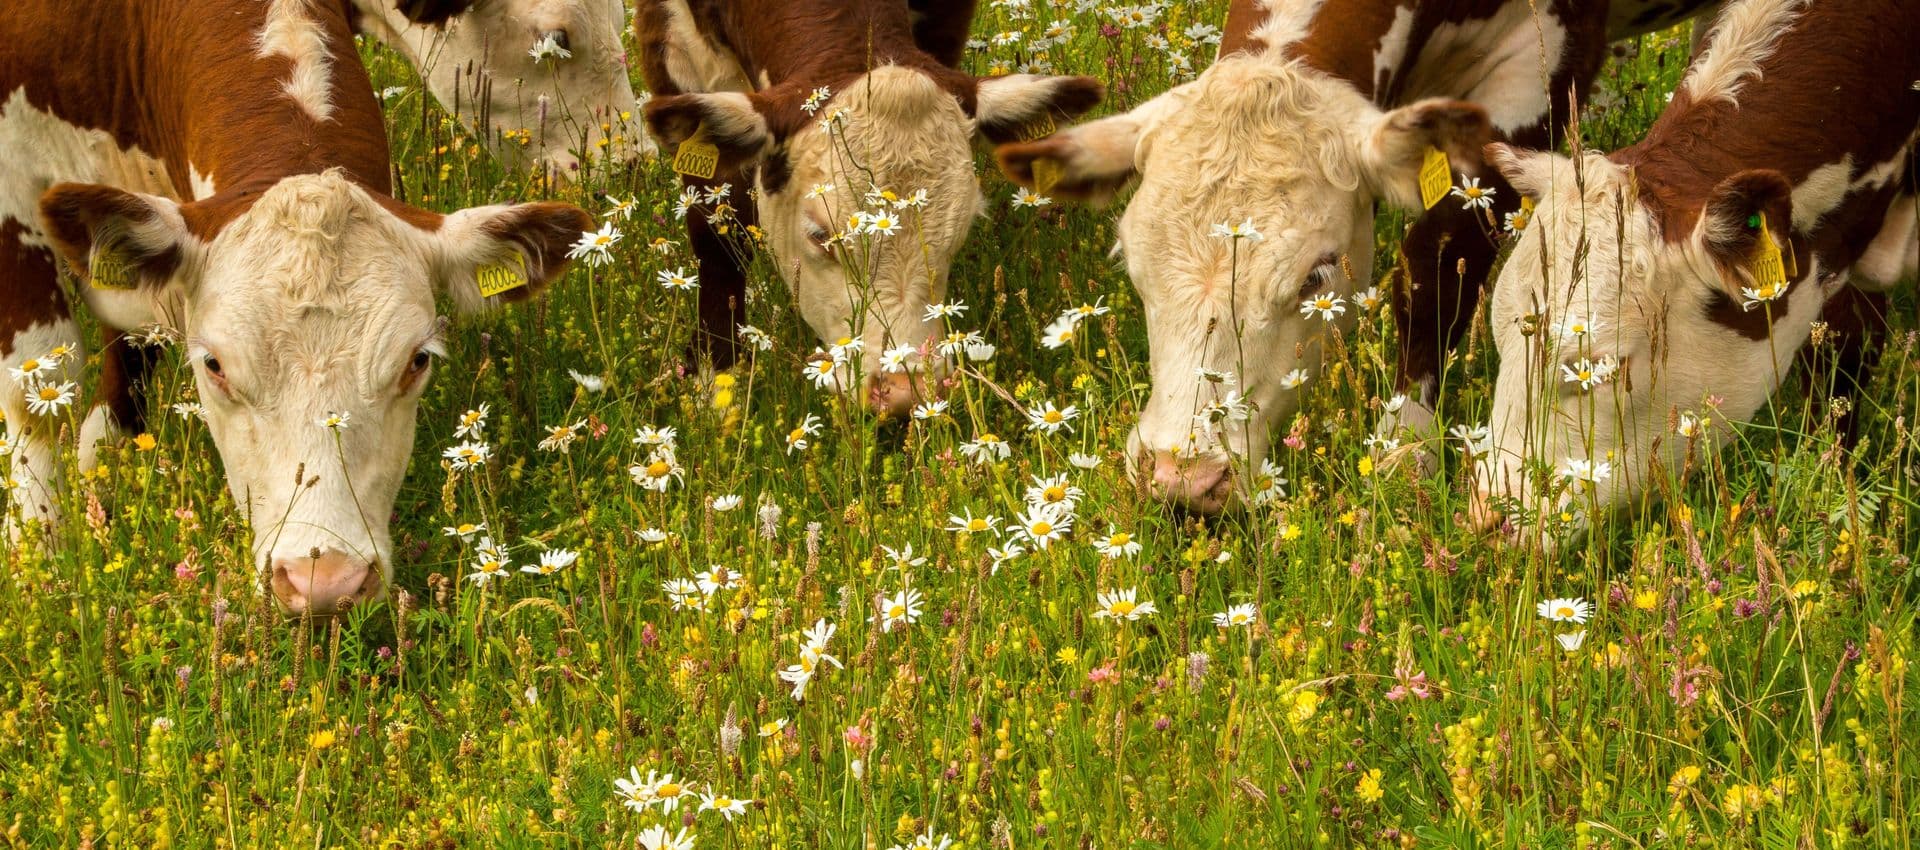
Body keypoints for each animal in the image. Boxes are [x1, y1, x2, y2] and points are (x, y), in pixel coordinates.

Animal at [995, 0, 1716, 513]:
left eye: (1315, 274)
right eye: (1131, 263)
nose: (1183, 478)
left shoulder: (1543, 63)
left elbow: (1435, 261)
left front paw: (1408, 439)